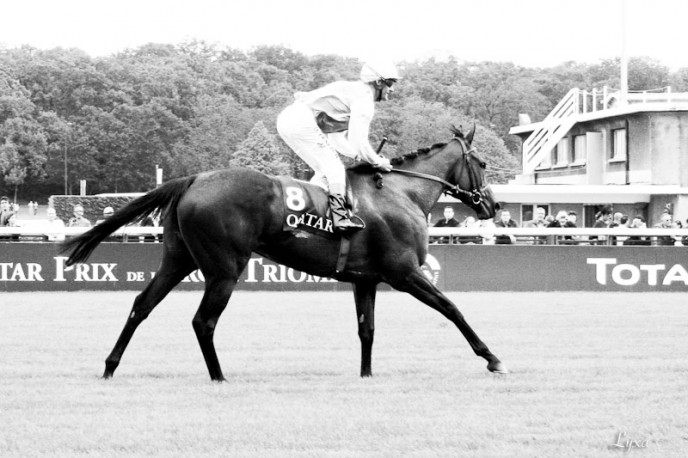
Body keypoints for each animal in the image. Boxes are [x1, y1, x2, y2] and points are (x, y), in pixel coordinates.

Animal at [60, 123, 510, 382]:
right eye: (483, 163)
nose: (492, 206)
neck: (401, 193)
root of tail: (193, 179)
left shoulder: (366, 280)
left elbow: (366, 329)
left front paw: (365, 375)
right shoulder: (404, 273)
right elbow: (452, 309)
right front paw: (492, 358)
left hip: (178, 258)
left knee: (142, 304)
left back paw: (110, 366)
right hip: (224, 268)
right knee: (203, 321)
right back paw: (219, 376)